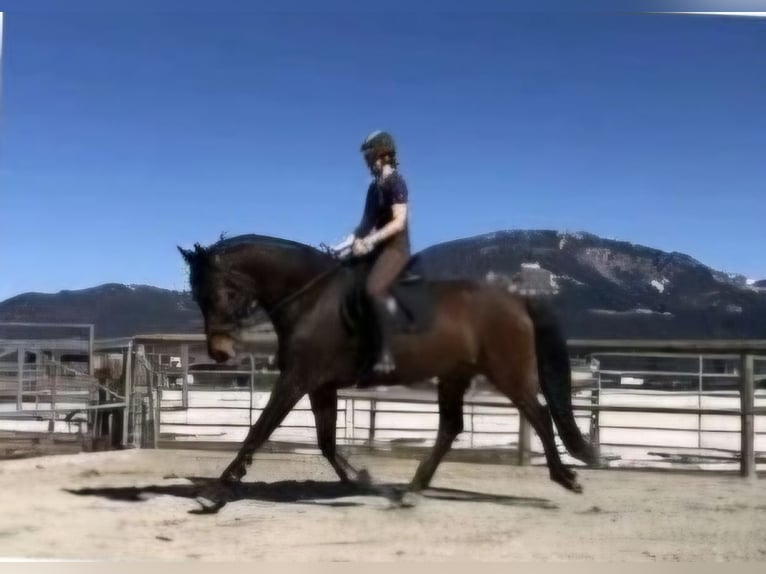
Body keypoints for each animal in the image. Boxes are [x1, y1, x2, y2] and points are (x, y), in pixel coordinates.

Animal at [177, 233, 598, 496]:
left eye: (222, 292)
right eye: (197, 296)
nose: (219, 353)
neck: (313, 298)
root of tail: (516, 298)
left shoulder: (297, 379)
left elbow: (260, 428)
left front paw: (224, 480)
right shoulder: (320, 385)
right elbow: (326, 442)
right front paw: (360, 478)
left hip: (509, 373)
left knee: (539, 415)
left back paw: (565, 477)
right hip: (454, 376)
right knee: (451, 428)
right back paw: (416, 484)